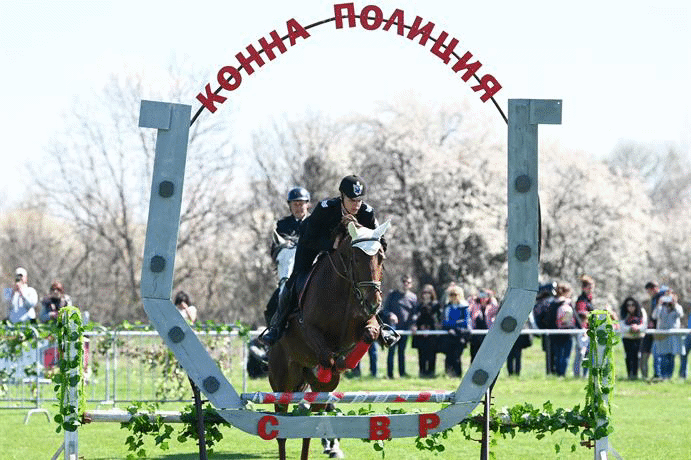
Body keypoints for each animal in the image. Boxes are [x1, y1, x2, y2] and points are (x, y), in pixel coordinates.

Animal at [268, 218, 392, 460]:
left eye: (381, 257)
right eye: (355, 258)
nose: (373, 302)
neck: (345, 288)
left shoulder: (366, 324)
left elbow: (369, 334)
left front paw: (344, 363)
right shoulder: (309, 327)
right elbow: (326, 356)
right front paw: (328, 368)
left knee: (312, 420)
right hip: (282, 380)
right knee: (282, 428)